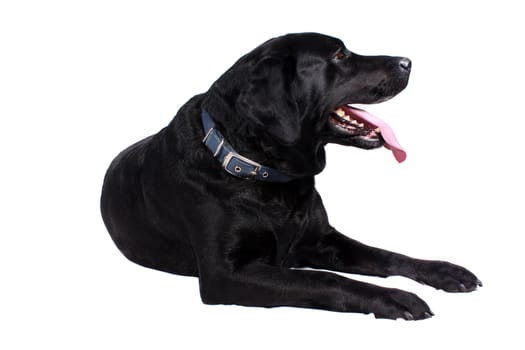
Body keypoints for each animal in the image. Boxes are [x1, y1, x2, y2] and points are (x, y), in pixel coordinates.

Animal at [100, 32, 482, 320]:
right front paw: (395, 298)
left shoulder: (323, 239)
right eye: (339, 55)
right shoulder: (226, 274)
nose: (407, 61)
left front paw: (444, 271)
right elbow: (326, 280)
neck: (261, 172)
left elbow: (386, 255)